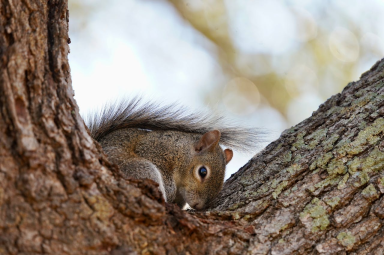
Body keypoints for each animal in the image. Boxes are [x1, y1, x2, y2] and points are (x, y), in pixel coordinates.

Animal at [87, 97, 260, 209]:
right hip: (138, 168)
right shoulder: (154, 148)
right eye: (202, 172)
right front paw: (170, 190)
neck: (182, 152)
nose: (198, 205)